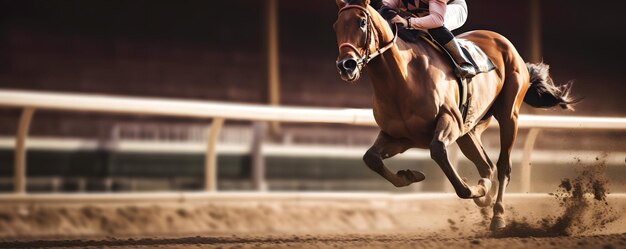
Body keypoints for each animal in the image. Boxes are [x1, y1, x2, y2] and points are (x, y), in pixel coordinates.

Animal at [332, 0, 576, 231]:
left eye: (362, 22)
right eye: (336, 25)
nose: (346, 65)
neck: (402, 79)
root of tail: (504, 42)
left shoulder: (449, 121)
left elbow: (439, 153)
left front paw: (475, 189)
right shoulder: (400, 137)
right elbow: (371, 158)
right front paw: (410, 175)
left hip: (508, 115)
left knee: (502, 166)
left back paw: (497, 215)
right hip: (470, 129)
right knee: (487, 165)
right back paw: (486, 196)